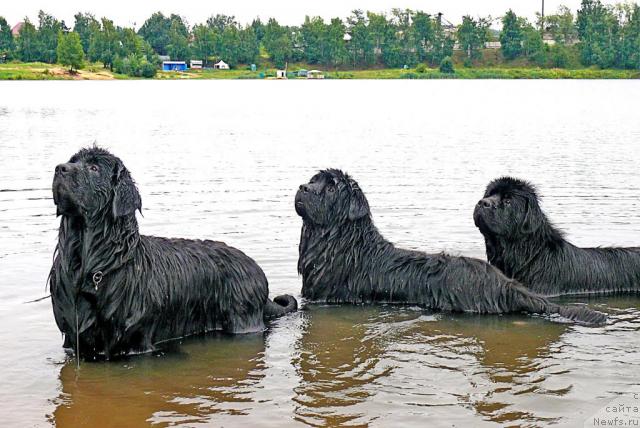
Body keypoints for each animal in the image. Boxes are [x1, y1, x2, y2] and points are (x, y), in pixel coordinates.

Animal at [49, 147, 298, 358]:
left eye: (94, 167)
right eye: (73, 160)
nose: (60, 168)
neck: (94, 262)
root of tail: (256, 268)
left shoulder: (136, 340)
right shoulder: (73, 340)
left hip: (242, 320)